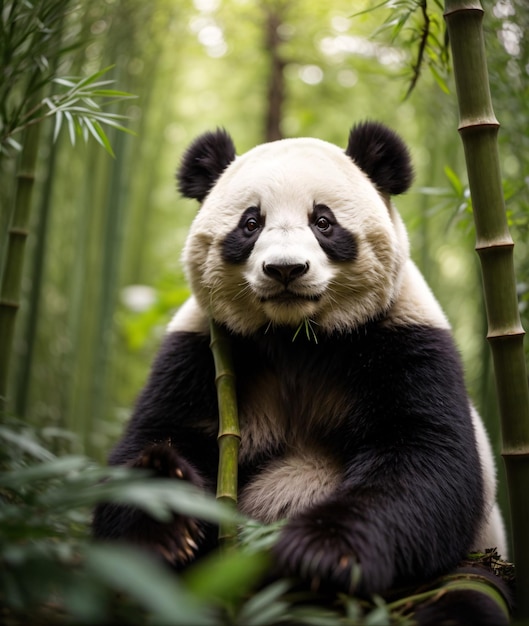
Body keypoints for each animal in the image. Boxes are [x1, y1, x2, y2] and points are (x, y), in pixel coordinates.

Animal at [94, 120, 508, 616]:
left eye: (323, 222)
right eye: (251, 223)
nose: (285, 269)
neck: (296, 338)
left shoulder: (406, 339)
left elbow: (427, 457)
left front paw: (321, 552)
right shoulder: (198, 353)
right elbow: (155, 439)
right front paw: (165, 516)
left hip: (465, 571)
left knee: (466, 599)